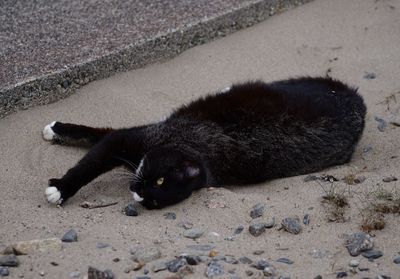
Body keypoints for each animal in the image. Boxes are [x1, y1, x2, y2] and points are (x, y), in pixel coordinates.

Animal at [43, 76, 366, 210]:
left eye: (155, 196)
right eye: (160, 179)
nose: (138, 191)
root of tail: (358, 103)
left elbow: (98, 140)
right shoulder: (129, 139)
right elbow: (92, 152)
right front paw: (62, 185)